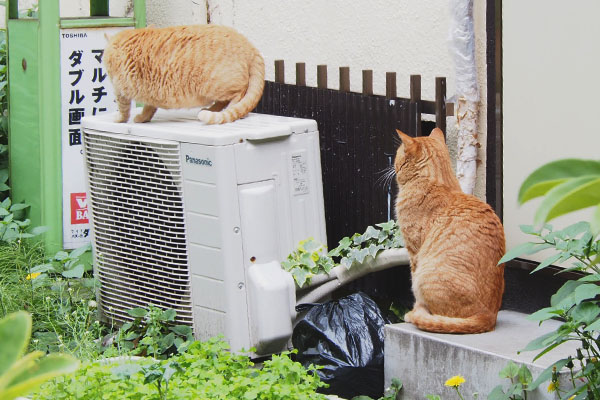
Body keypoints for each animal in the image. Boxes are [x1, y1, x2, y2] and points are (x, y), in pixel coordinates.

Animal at [103, 24, 264, 124]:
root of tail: (249, 45)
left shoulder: (119, 89)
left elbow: (124, 109)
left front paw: (120, 119)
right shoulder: (149, 92)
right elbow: (149, 107)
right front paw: (144, 118)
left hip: (216, 85)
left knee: (238, 94)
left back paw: (227, 108)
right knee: (225, 101)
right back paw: (211, 109)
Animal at [396, 129, 504, 334]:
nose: (394, 167)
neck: (438, 181)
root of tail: (489, 316)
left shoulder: (414, 252)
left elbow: (414, 291)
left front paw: (413, 312)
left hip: (426, 274)